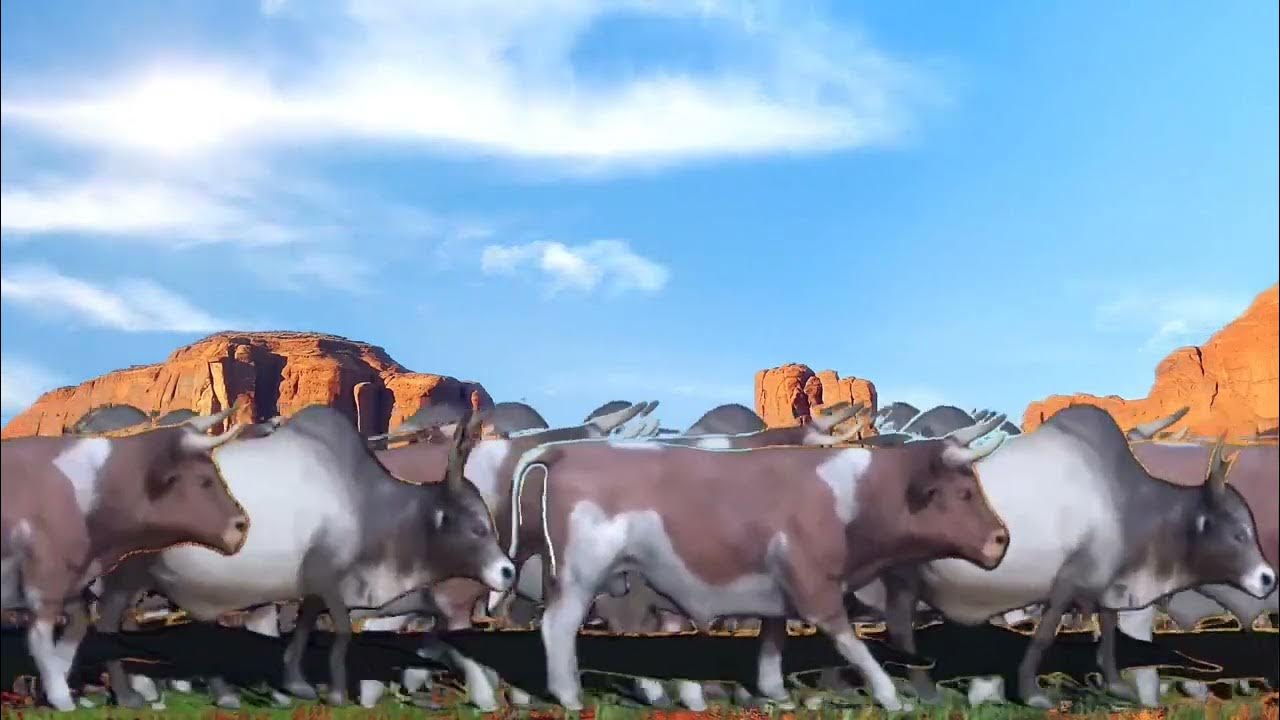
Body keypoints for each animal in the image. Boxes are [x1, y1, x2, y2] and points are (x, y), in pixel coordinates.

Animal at [1, 403, 252, 711]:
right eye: (204, 481)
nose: (242, 525)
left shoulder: (73, 579)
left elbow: (78, 625)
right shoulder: (45, 576)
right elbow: (40, 640)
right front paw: (61, 698)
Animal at [94, 404, 517, 709]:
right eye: (476, 528)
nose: (508, 572)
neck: (369, 505)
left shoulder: (314, 585)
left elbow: (303, 627)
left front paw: (296, 685)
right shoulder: (330, 578)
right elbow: (342, 631)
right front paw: (337, 694)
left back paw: (215, 693)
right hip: (125, 576)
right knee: (109, 623)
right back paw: (131, 695)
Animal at [509, 413, 1012, 711]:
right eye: (964, 493)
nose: (1002, 540)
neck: (848, 496)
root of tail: (568, 448)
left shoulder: (779, 591)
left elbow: (772, 640)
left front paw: (775, 693)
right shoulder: (816, 587)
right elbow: (852, 643)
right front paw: (891, 697)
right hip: (580, 573)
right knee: (557, 625)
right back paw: (570, 696)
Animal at [872, 404, 1276, 709]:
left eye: (1249, 527)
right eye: (1237, 532)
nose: (1268, 578)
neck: (1129, 505)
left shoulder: (1107, 584)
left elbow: (1109, 632)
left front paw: (1116, 685)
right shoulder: (1067, 581)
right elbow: (1044, 636)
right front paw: (1031, 693)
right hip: (903, 577)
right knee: (900, 628)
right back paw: (925, 692)